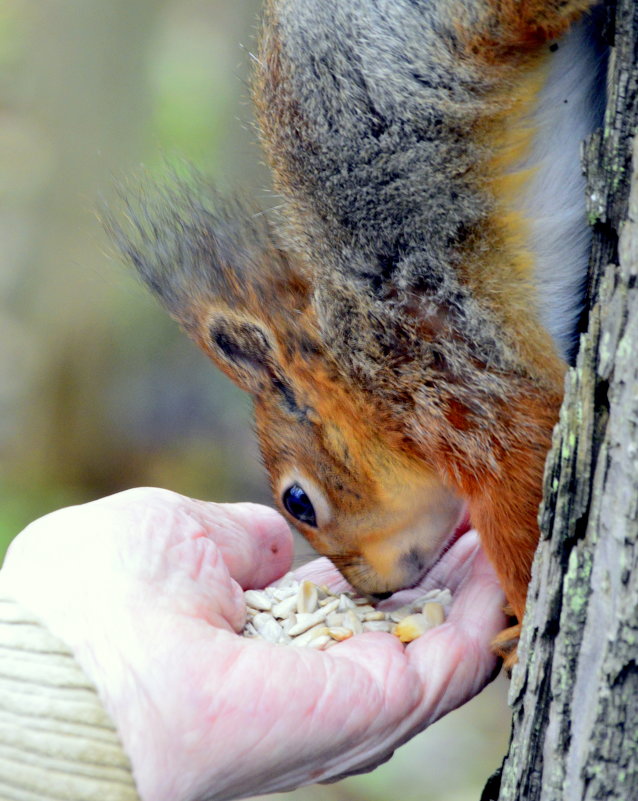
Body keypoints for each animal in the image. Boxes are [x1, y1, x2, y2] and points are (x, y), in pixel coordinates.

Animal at [112, 0, 608, 664]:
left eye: (298, 501)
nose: (372, 591)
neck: (365, 385)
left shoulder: (450, 383)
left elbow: (522, 494)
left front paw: (521, 624)